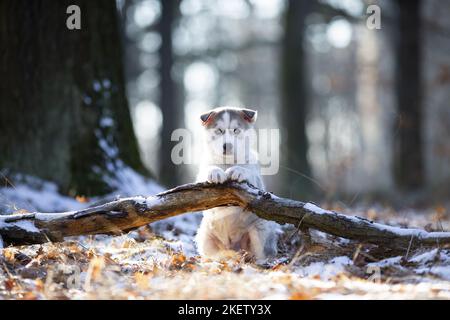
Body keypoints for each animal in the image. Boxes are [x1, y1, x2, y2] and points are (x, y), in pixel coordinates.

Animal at [195, 106, 280, 262]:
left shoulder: (256, 178)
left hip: (260, 228)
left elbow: (248, 172)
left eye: (236, 130)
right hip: (204, 235)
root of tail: (234, 247)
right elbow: (207, 172)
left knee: (262, 254)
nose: (227, 145)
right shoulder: (200, 178)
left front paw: (238, 171)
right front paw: (214, 172)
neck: (227, 163)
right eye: (219, 131)